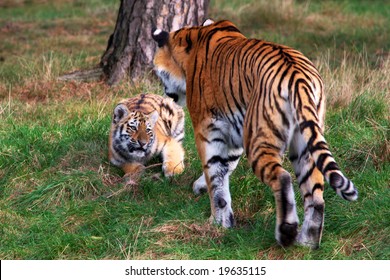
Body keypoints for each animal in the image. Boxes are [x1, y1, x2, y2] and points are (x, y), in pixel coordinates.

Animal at [152, 19, 356, 247]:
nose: (165, 93)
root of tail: (298, 76)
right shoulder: (233, 136)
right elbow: (225, 170)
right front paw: (205, 194)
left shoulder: (206, 131)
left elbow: (215, 177)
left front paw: (216, 222)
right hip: (304, 142)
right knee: (315, 192)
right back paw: (308, 241)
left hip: (261, 140)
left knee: (282, 178)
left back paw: (286, 233)